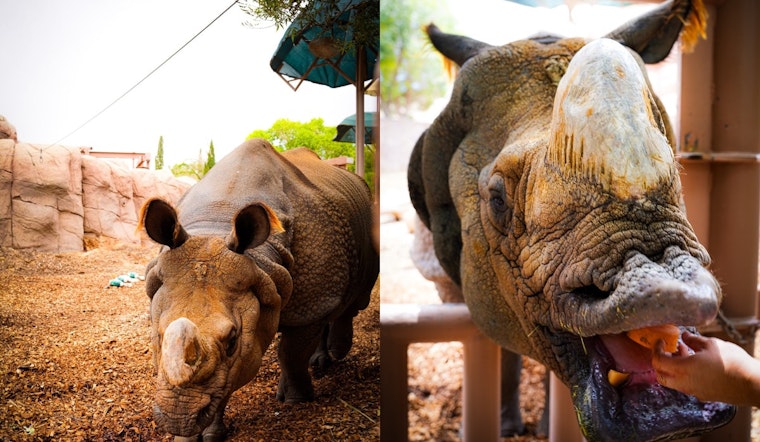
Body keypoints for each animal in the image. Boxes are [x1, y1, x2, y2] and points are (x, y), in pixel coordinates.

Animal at [139, 139, 378, 441]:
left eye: (232, 340)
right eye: (157, 336)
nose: (177, 419)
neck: (217, 223)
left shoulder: (310, 303)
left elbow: (290, 353)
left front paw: (296, 401)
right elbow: (224, 380)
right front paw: (200, 435)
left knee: (348, 300)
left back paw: (333, 355)